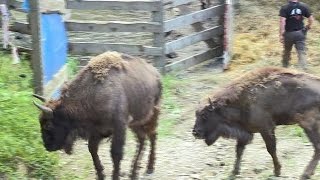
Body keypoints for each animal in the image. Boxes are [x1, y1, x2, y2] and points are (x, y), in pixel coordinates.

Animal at [33, 51, 161, 179]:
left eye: (48, 125)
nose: (47, 145)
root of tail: (156, 73)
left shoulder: (119, 127)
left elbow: (116, 153)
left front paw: (114, 176)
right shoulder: (96, 130)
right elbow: (92, 149)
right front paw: (101, 175)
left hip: (151, 115)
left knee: (152, 135)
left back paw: (149, 168)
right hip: (136, 123)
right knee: (143, 139)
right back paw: (134, 173)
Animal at [192, 67, 320, 179]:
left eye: (204, 115)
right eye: (196, 114)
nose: (195, 132)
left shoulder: (266, 129)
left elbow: (271, 149)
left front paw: (277, 171)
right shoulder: (245, 132)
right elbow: (239, 150)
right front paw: (234, 172)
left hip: (308, 126)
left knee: (317, 147)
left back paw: (305, 175)